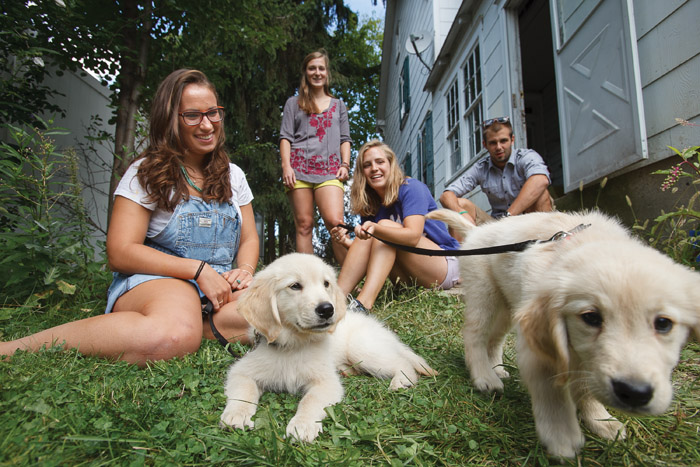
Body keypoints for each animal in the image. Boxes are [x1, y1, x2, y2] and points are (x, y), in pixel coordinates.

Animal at [220, 254, 438, 444]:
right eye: (295, 286)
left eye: (326, 284)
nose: (327, 309)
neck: (294, 344)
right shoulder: (242, 371)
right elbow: (244, 390)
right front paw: (237, 414)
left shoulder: (326, 382)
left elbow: (310, 400)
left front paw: (302, 425)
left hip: (363, 349)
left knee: (402, 363)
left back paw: (401, 381)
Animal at [426, 210, 700, 458]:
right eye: (591, 317)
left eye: (663, 323)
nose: (634, 392)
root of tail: (478, 231)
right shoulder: (538, 346)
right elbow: (551, 391)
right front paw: (562, 437)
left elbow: (586, 388)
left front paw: (602, 421)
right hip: (485, 294)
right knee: (475, 335)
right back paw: (485, 377)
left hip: (509, 305)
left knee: (494, 339)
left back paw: (497, 369)